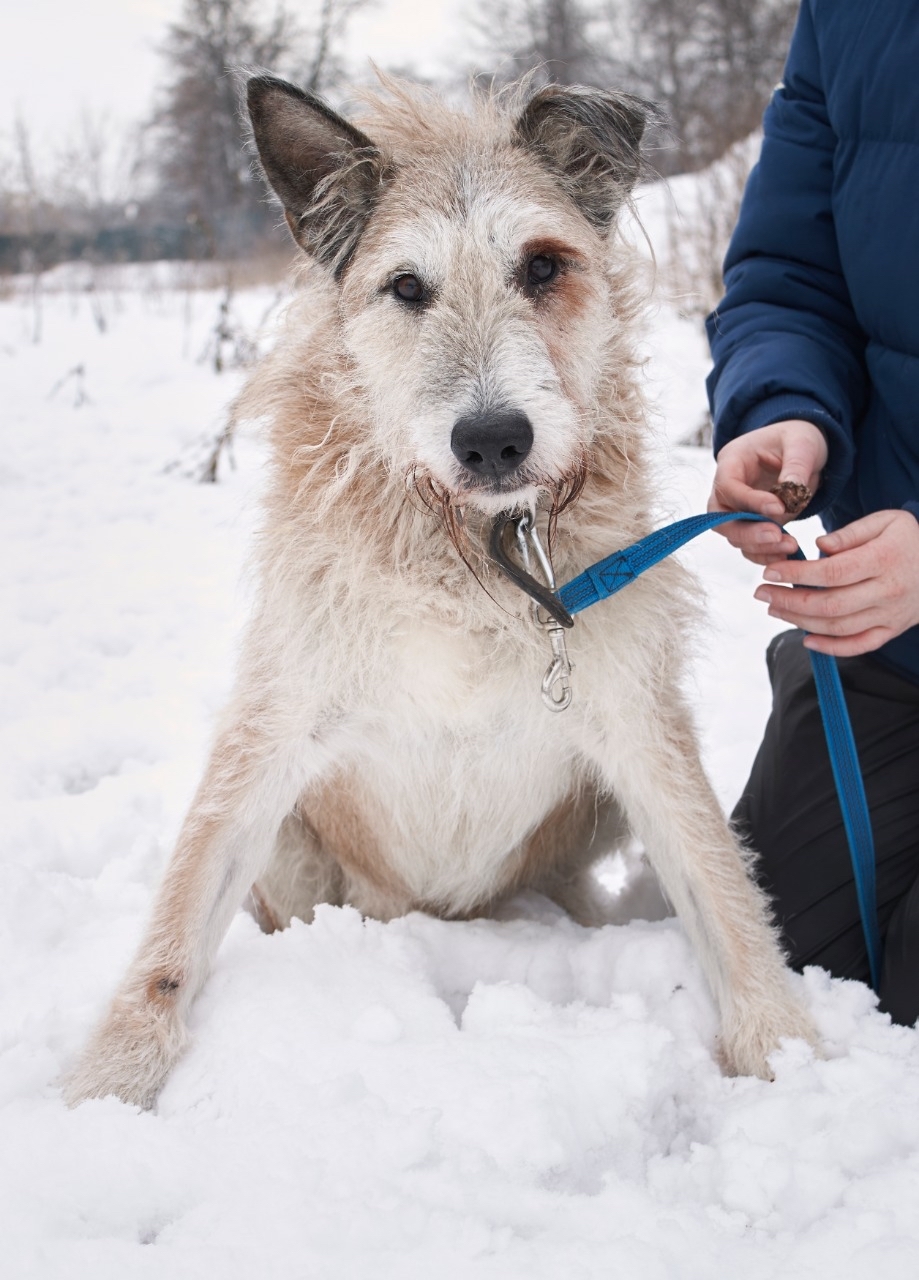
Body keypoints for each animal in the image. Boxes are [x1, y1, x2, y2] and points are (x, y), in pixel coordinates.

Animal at [63, 74, 814, 1111]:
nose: (493, 440)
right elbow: (176, 924)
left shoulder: (635, 725)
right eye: (407, 287)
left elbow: (718, 883)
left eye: (542, 266)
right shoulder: (270, 732)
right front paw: (111, 1080)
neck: (472, 552)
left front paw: (786, 1053)